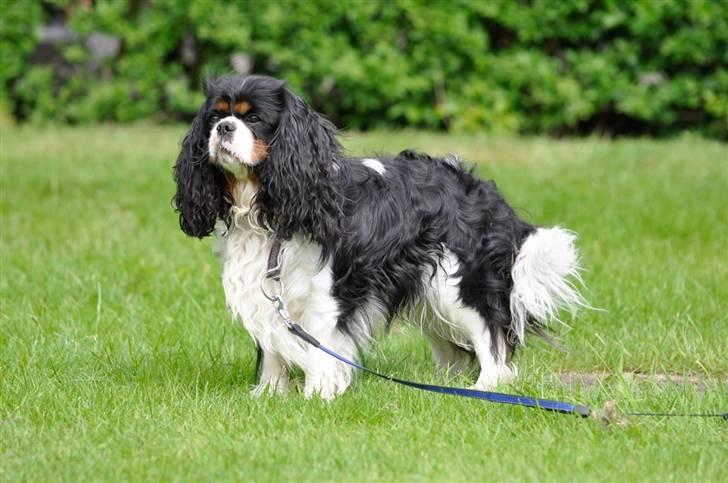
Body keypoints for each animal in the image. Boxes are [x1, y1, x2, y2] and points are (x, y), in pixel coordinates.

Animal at [172, 74, 584, 400]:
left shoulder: (326, 295)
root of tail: (481, 189)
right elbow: (273, 345)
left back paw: (485, 387)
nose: (224, 128)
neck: (264, 206)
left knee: (491, 337)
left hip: (457, 285)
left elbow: (319, 345)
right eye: (215, 116)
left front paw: (317, 395)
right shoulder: (268, 288)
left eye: (254, 118)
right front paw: (270, 394)